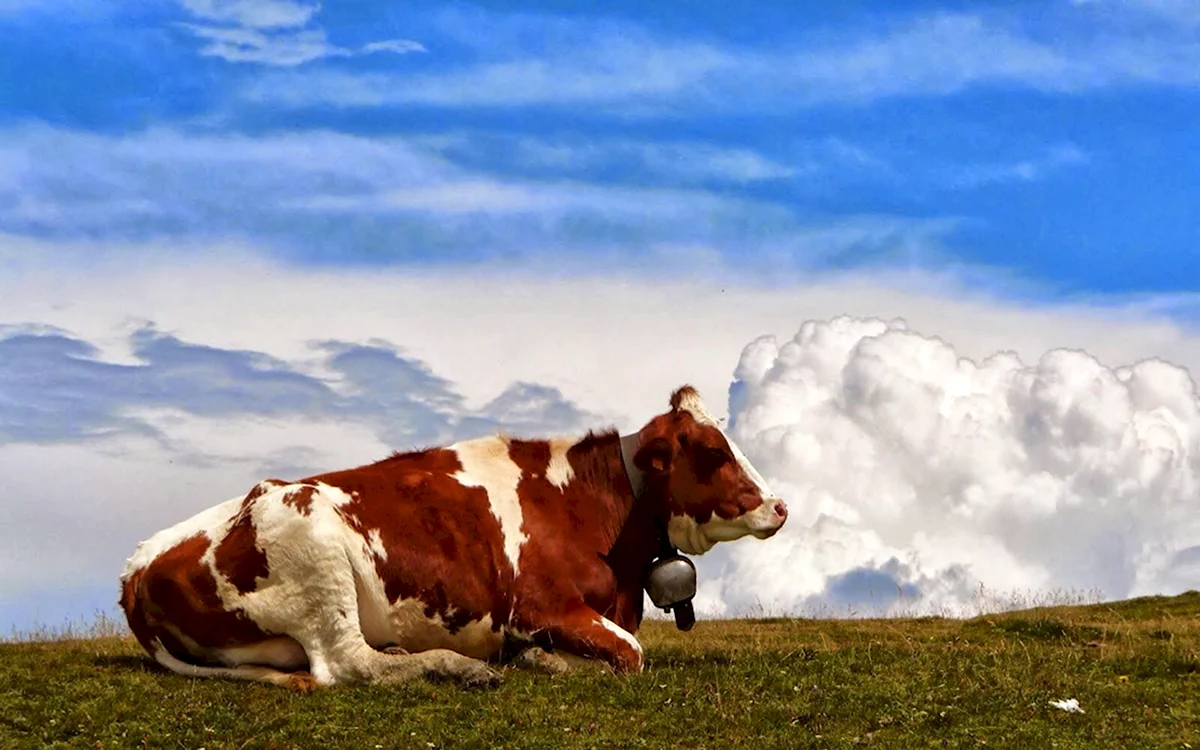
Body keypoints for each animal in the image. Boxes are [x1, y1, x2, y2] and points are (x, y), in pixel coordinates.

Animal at [119, 385, 788, 689]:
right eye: (712, 450)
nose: (780, 506)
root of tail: (138, 564)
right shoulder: (537, 604)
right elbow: (630, 653)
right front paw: (538, 658)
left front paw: (538, 658)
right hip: (312, 542)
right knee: (348, 663)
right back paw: (460, 667)